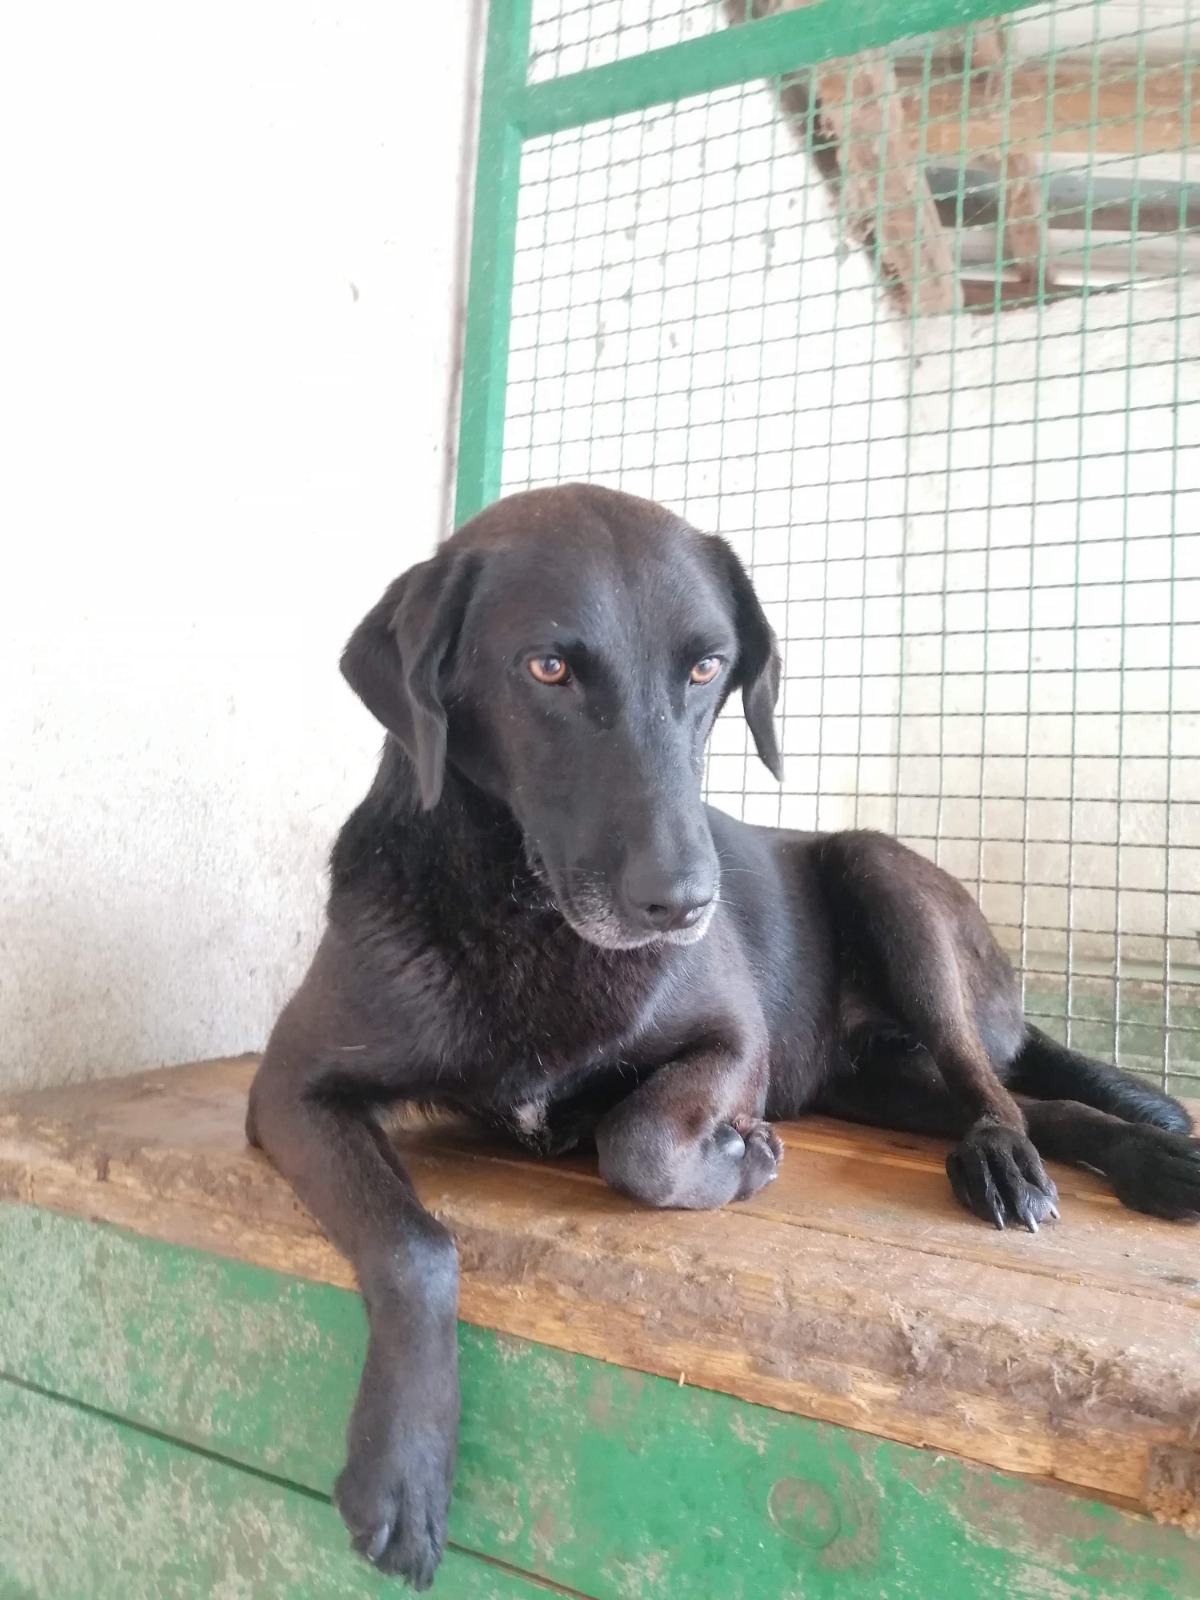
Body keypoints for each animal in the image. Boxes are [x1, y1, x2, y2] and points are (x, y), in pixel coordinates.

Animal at [248, 483, 1200, 1587]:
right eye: (547, 668)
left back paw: (1022, 1162)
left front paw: (735, 1158)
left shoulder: (735, 1039)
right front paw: (402, 1470)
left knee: (998, 1090)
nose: (687, 905)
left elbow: (641, 1141)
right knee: (1038, 1107)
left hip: (891, 884)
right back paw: (1142, 1163)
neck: (522, 913)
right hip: (871, 1080)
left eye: (707, 669)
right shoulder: (290, 1088)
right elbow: (413, 1242)